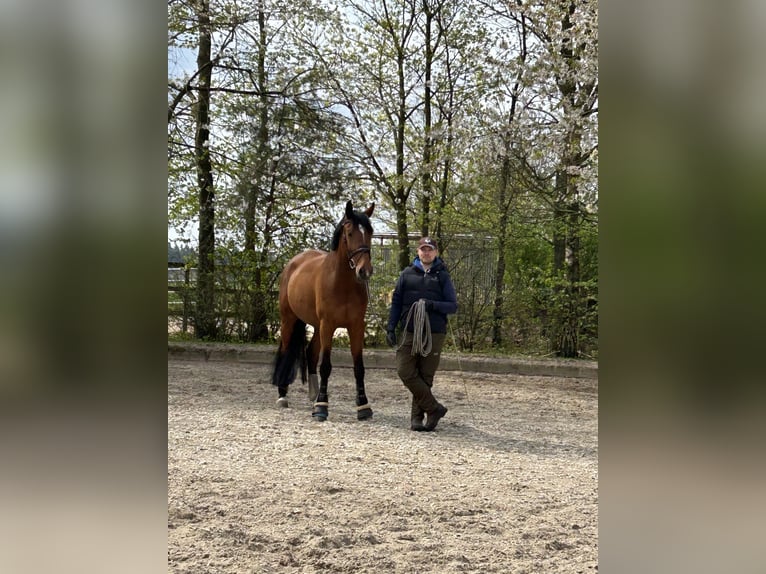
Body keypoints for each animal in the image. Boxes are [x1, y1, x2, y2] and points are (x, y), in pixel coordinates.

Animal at [271, 200, 375, 421]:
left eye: (370, 232)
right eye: (350, 233)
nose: (365, 271)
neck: (342, 283)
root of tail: (293, 263)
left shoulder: (356, 327)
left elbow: (359, 367)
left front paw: (363, 407)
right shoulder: (329, 325)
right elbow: (326, 366)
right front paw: (321, 407)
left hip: (317, 327)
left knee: (310, 353)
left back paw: (314, 395)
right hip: (289, 320)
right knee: (285, 351)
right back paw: (283, 395)